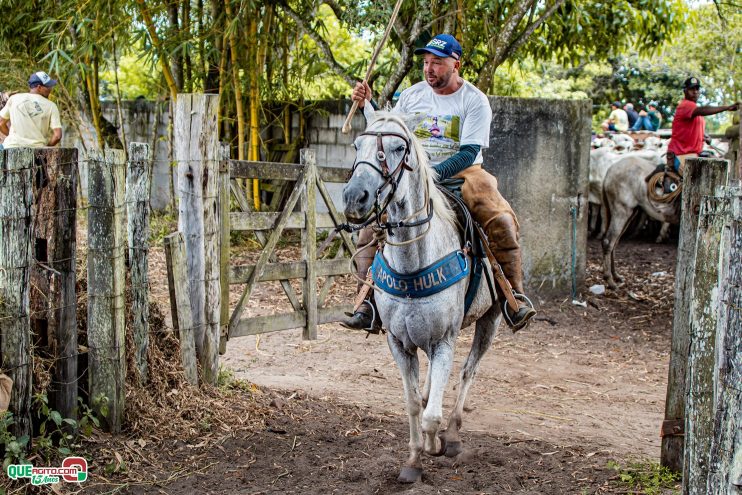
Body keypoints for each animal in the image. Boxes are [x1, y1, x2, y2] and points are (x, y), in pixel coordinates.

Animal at [342, 112, 500, 484]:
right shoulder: (399, 343)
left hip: (490, 321)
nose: (355, 197)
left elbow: (432, 415)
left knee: (468, 373)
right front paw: (414, 460)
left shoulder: (444, 341)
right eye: (357, 144)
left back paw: (453, 437)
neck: (414, 264)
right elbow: (414, 403)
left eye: (399, 148)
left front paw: (435, 445)